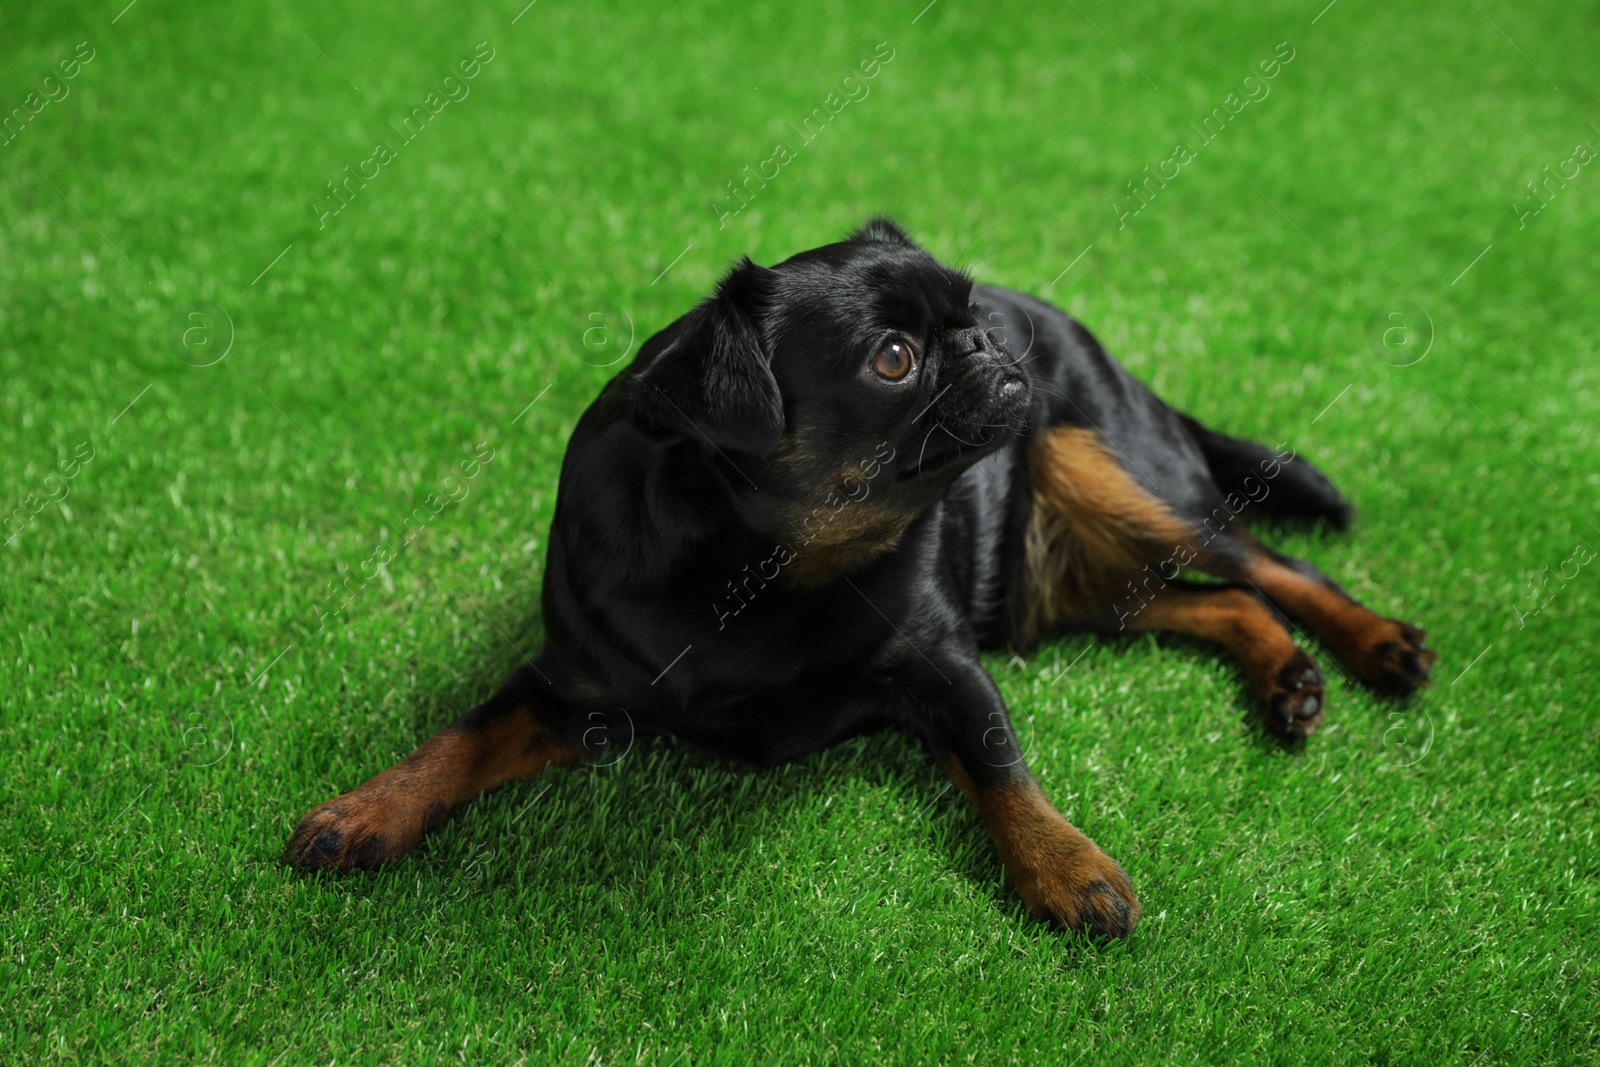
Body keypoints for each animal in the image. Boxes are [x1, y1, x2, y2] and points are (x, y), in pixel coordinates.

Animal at [288, 217, 1440, 934]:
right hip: (1096, 583)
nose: (990, 343)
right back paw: (1288, 681)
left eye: (966, 319)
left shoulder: (944, 666)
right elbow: (462, 734)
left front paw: (1066, 866)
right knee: (1225, 599)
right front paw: (365, 809)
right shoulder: (572, 689)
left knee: (1270, 562)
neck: (761, 571)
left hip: (1119, 472)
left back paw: (1375, 644)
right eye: (894, 359)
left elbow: (1000, 765)